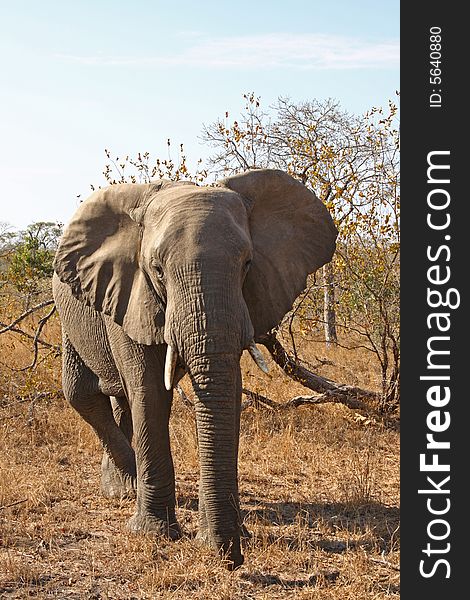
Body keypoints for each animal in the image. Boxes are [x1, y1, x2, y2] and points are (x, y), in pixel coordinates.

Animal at [52, 168, 338, 568]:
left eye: (247, 264)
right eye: (157, 270)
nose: (231, 559)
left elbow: (226, 389)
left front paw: (228, 535)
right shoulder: (130, 293)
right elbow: (149, 392)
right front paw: (154, 534)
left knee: (117, 397)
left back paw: (121, 488)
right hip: (71, 312)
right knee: (84, 393)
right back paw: (127, 486)